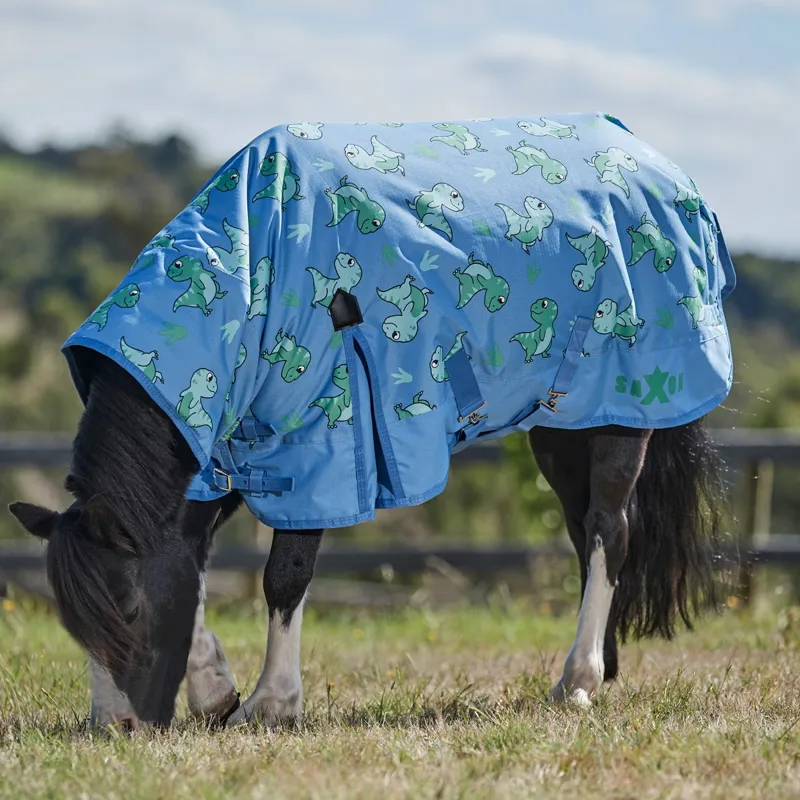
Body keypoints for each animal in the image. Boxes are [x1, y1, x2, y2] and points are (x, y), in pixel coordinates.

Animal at [9, 112, 734, 727]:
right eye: (73, 625)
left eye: (129, 609)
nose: (117, 727)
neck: (254, 279)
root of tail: (655, 164)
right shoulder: (231, 449)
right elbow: (192, 559)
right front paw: (215, 688)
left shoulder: (321, 440)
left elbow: (283, 576)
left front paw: (270, 704)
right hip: (564, 426)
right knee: (590, 534)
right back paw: (599, 670)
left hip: (622, 410)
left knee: (609, 528)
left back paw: (579, 678)